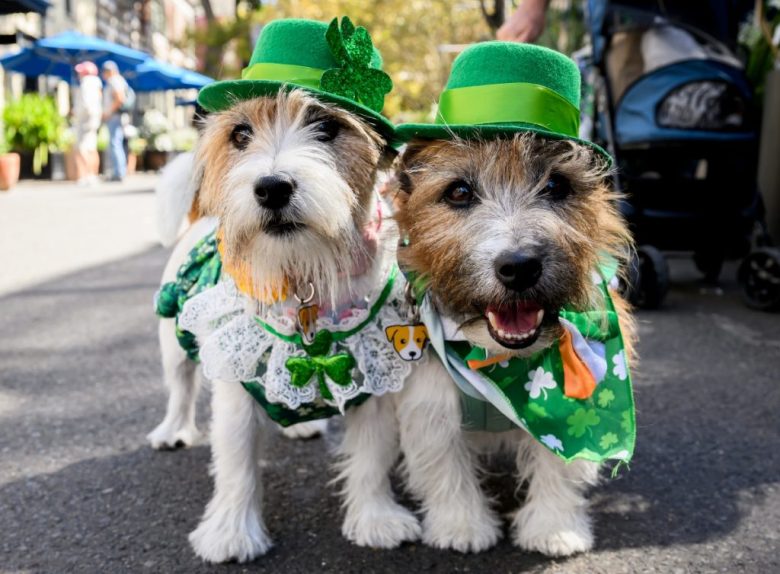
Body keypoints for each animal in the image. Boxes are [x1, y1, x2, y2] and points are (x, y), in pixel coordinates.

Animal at [386, 133, 636, 556]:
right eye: (459, 192)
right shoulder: (432, 403)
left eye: (556, 185)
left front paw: (554, 529)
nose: (519, 266)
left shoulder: (568, 412)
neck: (499, 362)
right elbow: (444, 464)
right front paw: (462, 526)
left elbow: (560, 464)